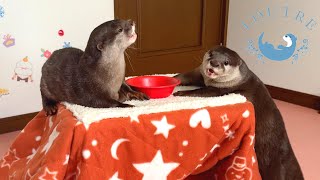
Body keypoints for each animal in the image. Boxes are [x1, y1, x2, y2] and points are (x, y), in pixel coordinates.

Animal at [174, 46, 304, 180]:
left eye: (226, 62)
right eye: (211, 54)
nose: (214, 63)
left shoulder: (220, 89)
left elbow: (201, 92)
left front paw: (180, 93)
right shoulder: (199, 74)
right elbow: (185, 76)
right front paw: (174, 80)